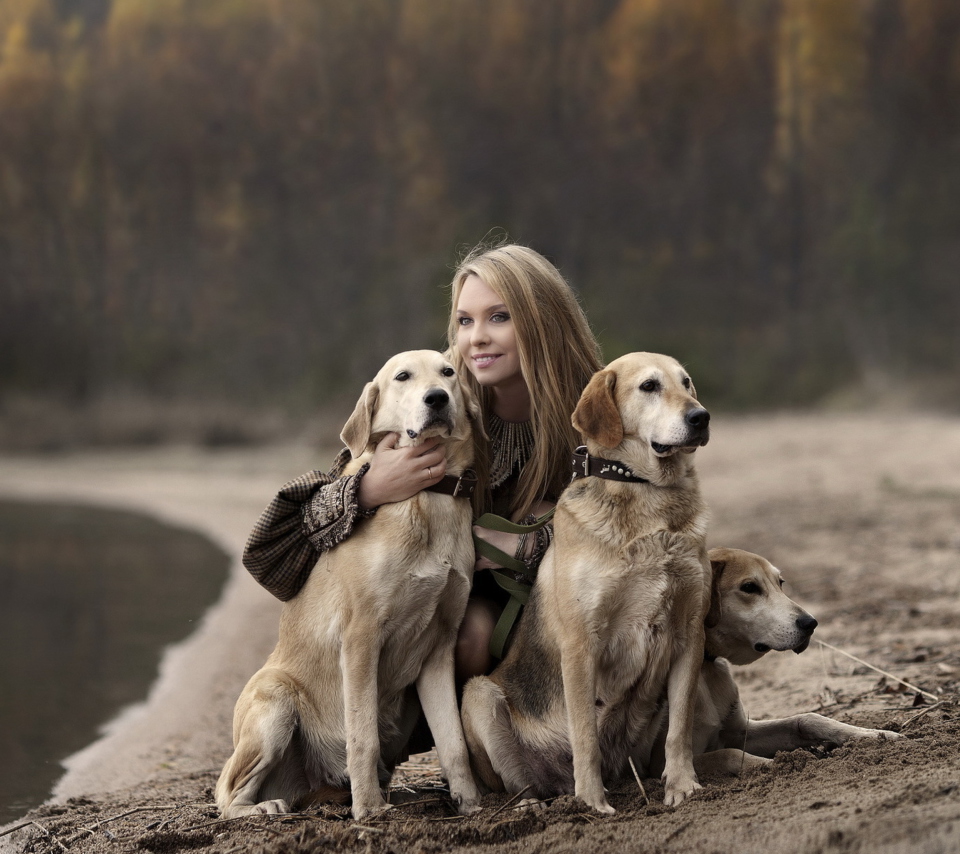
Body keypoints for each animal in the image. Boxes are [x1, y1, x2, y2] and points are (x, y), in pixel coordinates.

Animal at [220, 350, 484, 824]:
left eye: (448, 372)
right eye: (403, 377)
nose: (437, 398)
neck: (426, 497)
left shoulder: (439, 649)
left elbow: (453, 744)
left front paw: (471, 804)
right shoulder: (361, 638)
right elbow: (362, 737)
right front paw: (369, 810)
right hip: (275, 701)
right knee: (226, 794)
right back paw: (265, 806)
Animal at [462, 352, 716, 816]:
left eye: (686, 383)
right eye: (649, 386)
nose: (701, 417)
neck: (646, 492)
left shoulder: (689, 635)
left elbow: (681, 727)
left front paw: (682, 786)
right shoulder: (582, 643)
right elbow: (584, 734)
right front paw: (593, 803)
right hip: (479, 696)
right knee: (520, 783)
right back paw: (536, 807)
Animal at [640, 548, 904, 784]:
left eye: (781, 583)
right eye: (749, 587)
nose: (811, 623)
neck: (706, 666)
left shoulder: (741, 732)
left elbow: (807, 719)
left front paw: (874, 735)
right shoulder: (658, 765)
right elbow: (729, 754)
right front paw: (784, 763)